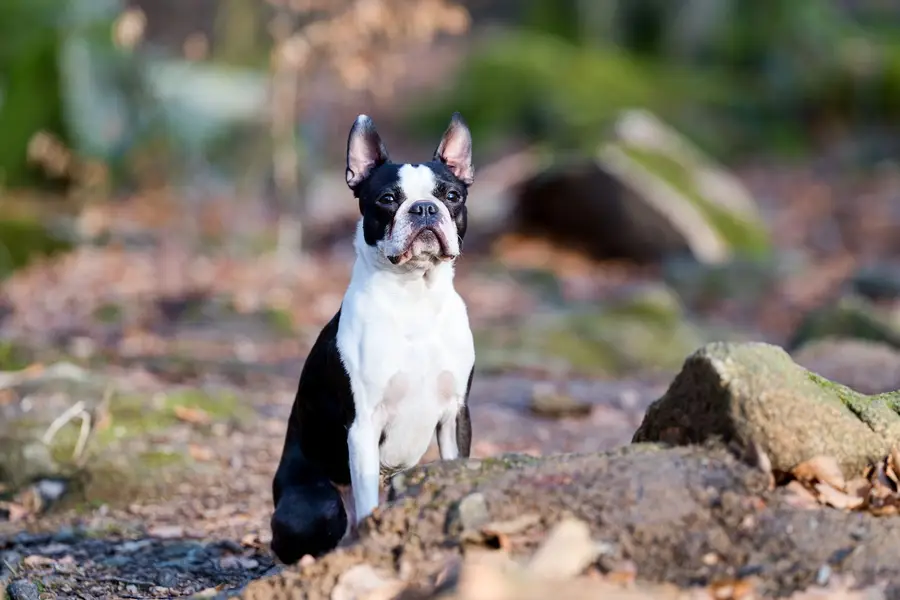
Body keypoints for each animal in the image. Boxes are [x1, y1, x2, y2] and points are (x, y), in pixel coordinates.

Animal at [268, 113, 474, 568]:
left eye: (451, 195)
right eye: (387, 199)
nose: (424, 208)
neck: (415, 297)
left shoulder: (456, 413)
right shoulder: (362, 426)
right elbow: (367, 503)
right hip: (314, 504)